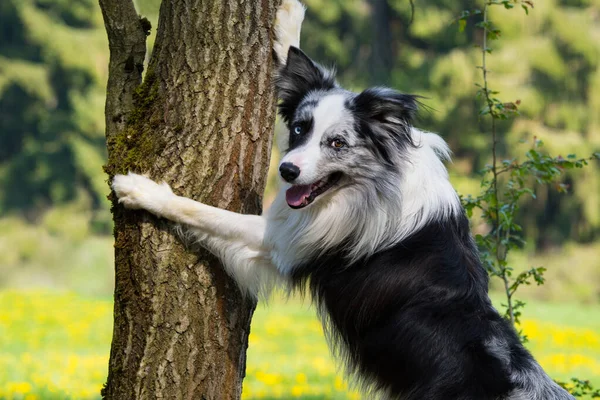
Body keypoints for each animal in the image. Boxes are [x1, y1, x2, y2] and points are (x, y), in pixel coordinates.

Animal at [112, 1, 576, 398]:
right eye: (300, 129)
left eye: (337, 143)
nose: (287, 171)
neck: (379, 177)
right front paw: (288, 21)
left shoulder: (283, 242)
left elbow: (205, 212)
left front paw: (143, 190)